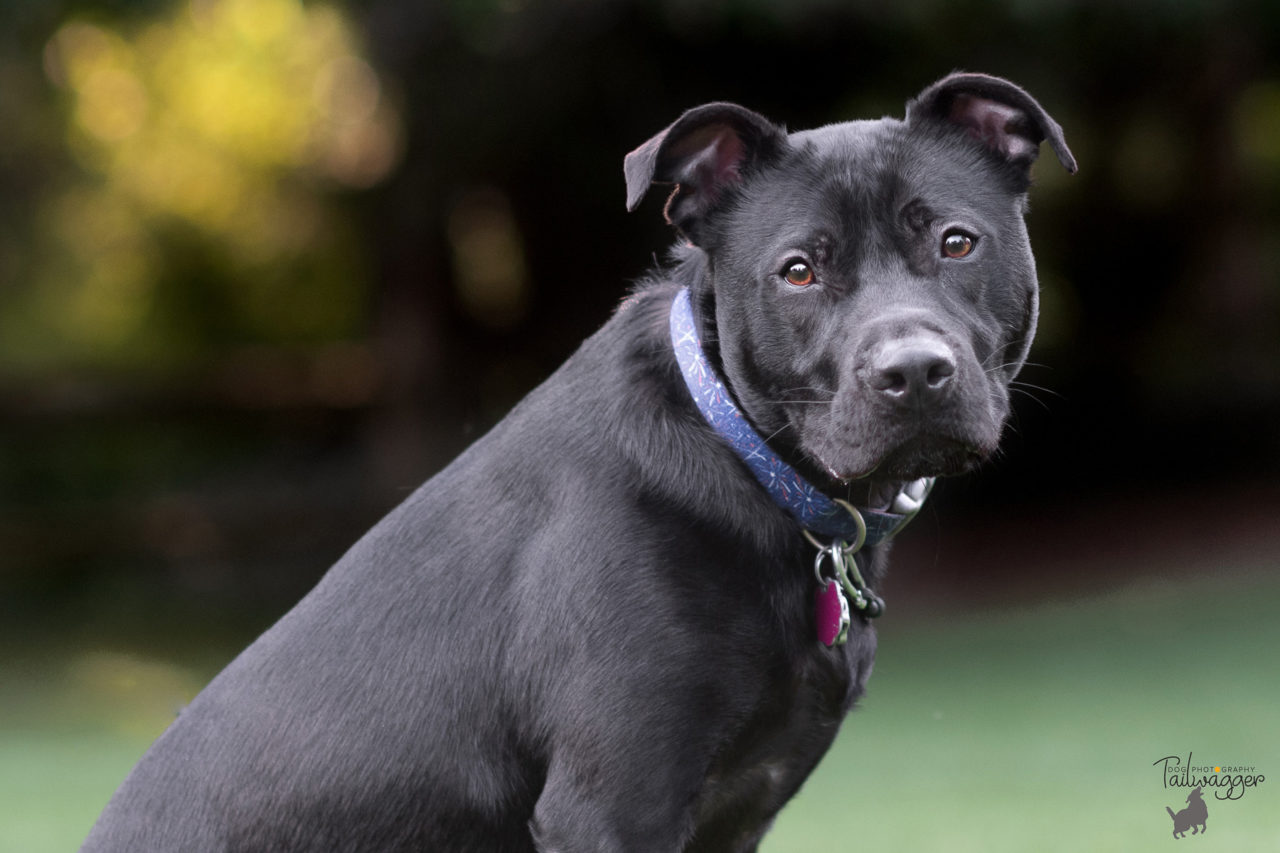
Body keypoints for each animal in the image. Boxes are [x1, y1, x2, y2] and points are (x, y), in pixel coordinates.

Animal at [85, 74, 1075, 850]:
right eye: (798, 270)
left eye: (956, 241)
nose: (912, 371)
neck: (745, 456)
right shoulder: (613, 803)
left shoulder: (736, 808)